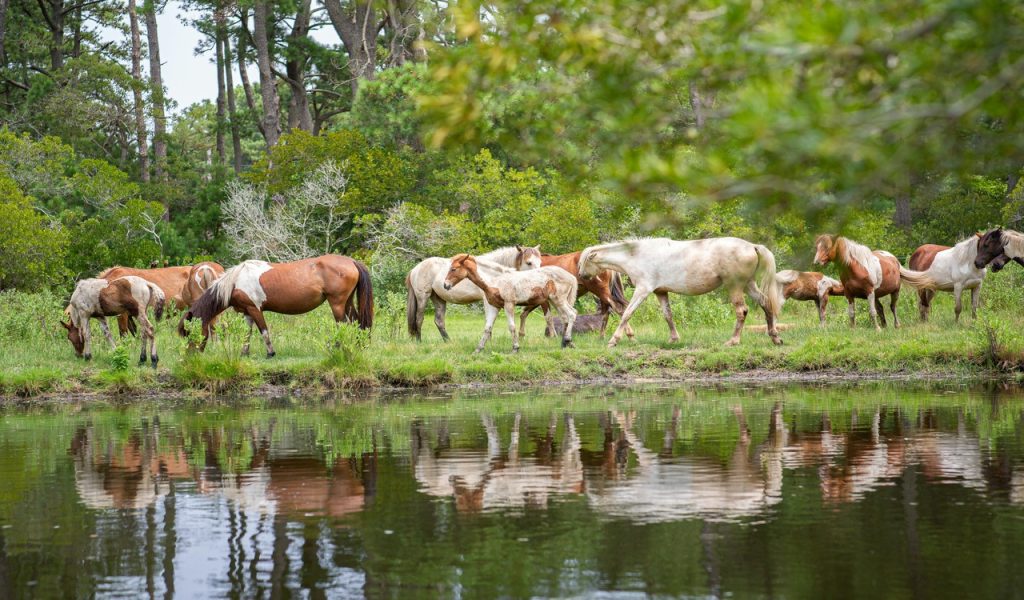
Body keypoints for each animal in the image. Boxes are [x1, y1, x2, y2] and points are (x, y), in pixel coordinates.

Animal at [178, 255, 373, 357]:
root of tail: (351, 262)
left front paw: (270, 353)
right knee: (355, 322)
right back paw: (357, 345)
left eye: (189, 333)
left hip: (337, 303)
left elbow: (264, 331)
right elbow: (248, 333)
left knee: (343, 325)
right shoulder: (247, 312)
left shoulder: (255, 309)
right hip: (347, 302)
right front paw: (244, 352)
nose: (191, 356)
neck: (236, 281)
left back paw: (339, 348)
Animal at [442, 254, 578, 352]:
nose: (445, 285)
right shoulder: (494, 307)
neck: (494, 281)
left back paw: (567, 340)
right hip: (555, 301)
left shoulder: (509, 304)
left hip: (558, 299)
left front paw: (515, 348)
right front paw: (478, 349)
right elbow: (487, 328)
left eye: (453, 269)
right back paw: (566, 344)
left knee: (572, 314)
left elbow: (512, 327)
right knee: (565, 318)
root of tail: (571, 277)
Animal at [578, 237, 784, 348]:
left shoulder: (643, 290)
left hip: (735, 286)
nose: (580, 275)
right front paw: (673, 339)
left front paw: (613, 341)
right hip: (748, 285)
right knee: (766, 303)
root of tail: (752, 246)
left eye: (583, 262)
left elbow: (627, 313)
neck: (637, 256)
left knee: (742, 311)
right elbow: (668, 315)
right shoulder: (660, 292)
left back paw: (733, 341)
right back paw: (775, 337)